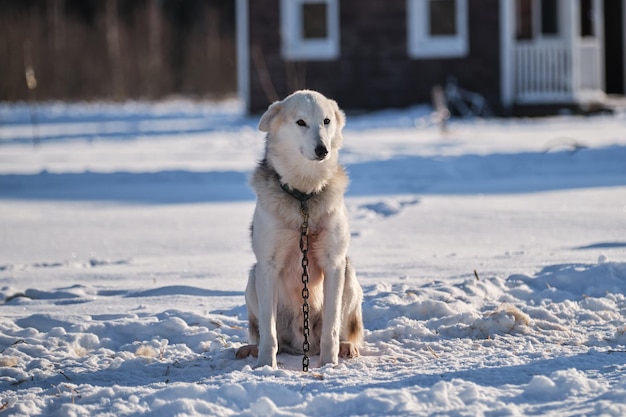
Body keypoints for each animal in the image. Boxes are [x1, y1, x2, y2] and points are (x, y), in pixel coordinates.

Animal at [233, 88, 360, 368]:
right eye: (301, 122)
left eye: (326, 121)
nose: (322, 149)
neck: (304, 196)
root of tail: (303, 344)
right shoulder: (267, 265)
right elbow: (268, 332)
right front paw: (265, 365)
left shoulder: (334, 263)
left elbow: (331, 328)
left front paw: (329, 364)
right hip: (253, 279)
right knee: (270, 335)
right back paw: (252, 348)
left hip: (349, 276)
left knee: (342, 328)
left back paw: (346, 346)